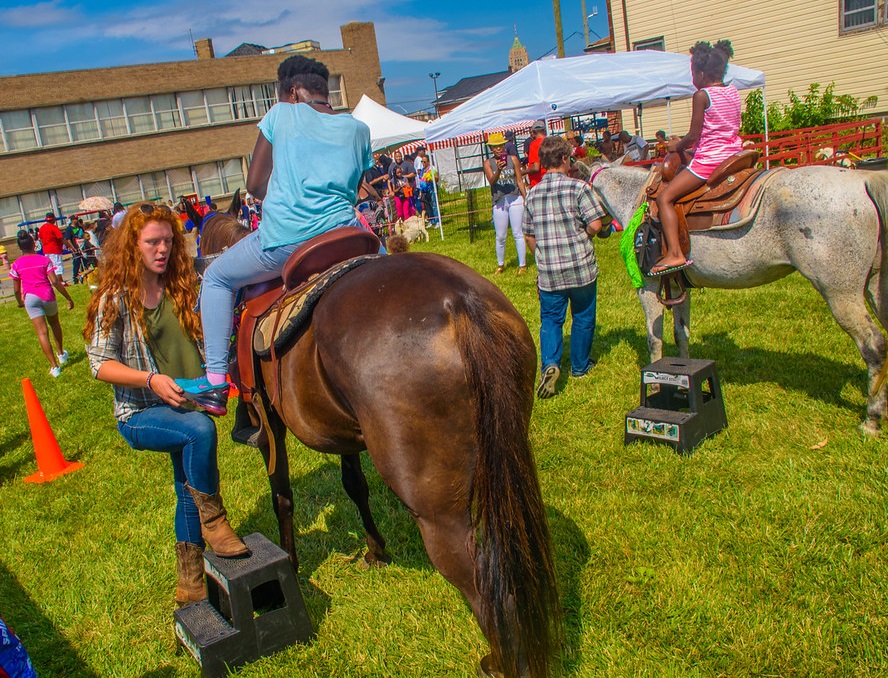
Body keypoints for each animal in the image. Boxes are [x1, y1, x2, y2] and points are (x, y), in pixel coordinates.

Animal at [201, 210, 560, 676]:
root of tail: (459, 303)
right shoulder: (346, 433)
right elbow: (356, 486)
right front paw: (376, 550)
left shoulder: (271, 430)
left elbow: (283, 497)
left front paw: (291, 566)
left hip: (441, 514)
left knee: (481, 576)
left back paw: (499, 661)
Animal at [588, 162, 888, 432]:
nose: (599, 231)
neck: (636, 198)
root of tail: (863, 181)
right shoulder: (678, 285)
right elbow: (681, 334)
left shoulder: (648, 285)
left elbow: (654, 338)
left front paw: (656, 387)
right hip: (874, 287)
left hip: (841, 294)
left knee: (874, 346)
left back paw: (871, 419)